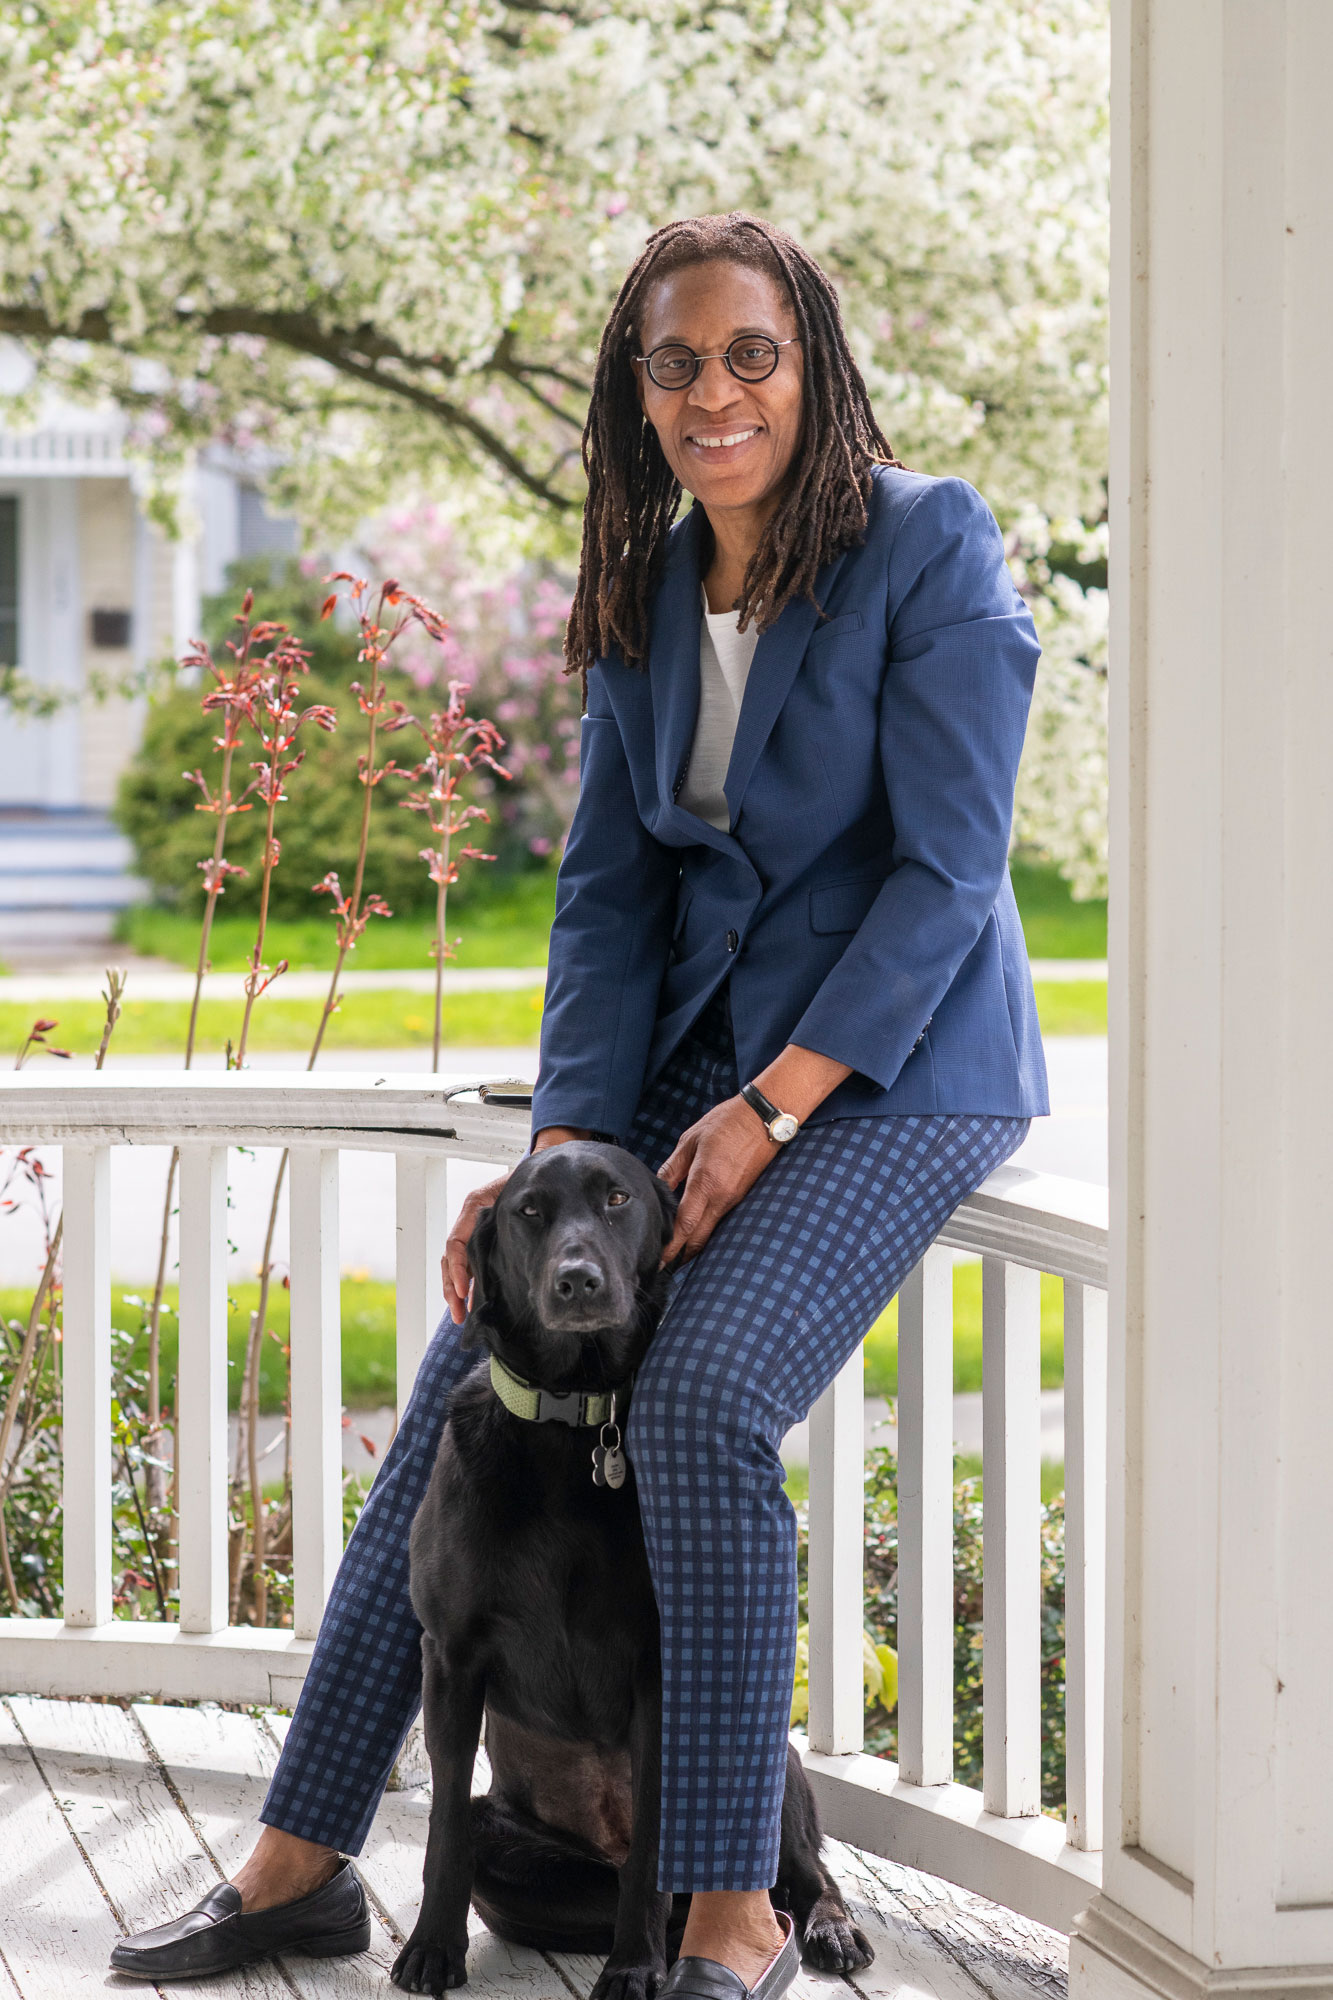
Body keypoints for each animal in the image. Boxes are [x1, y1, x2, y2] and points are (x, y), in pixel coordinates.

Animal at [392, 1144, 872, 2000]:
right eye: (529, 1211)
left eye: (616, 1199)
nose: (577, 1280)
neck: (576, 1418)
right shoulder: (448, 1656)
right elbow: (444, 1827)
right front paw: (432, 1947)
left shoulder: (663, 1668)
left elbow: (655, 1844)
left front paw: (634, 1968)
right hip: (513, 1846)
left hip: (775, 1760)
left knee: (795, 1871)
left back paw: (824, 1927)